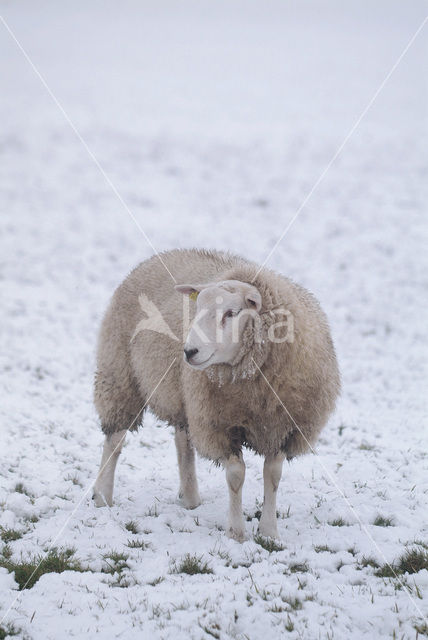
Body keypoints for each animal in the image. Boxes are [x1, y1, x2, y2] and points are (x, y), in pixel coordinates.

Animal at [93, 250, 342, 540]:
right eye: (197, 309)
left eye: (231, 313)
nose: (189, 352)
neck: (254, 390)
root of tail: (159, 256)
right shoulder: (219, 424)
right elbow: (236, 476)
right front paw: (236, 532)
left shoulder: (283, 427)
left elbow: (273, 475)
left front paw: (269, 531)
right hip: (119, 375)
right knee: (115, 440)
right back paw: (102, 496)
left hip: (185, 397)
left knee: (182, 440)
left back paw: (190, 498)